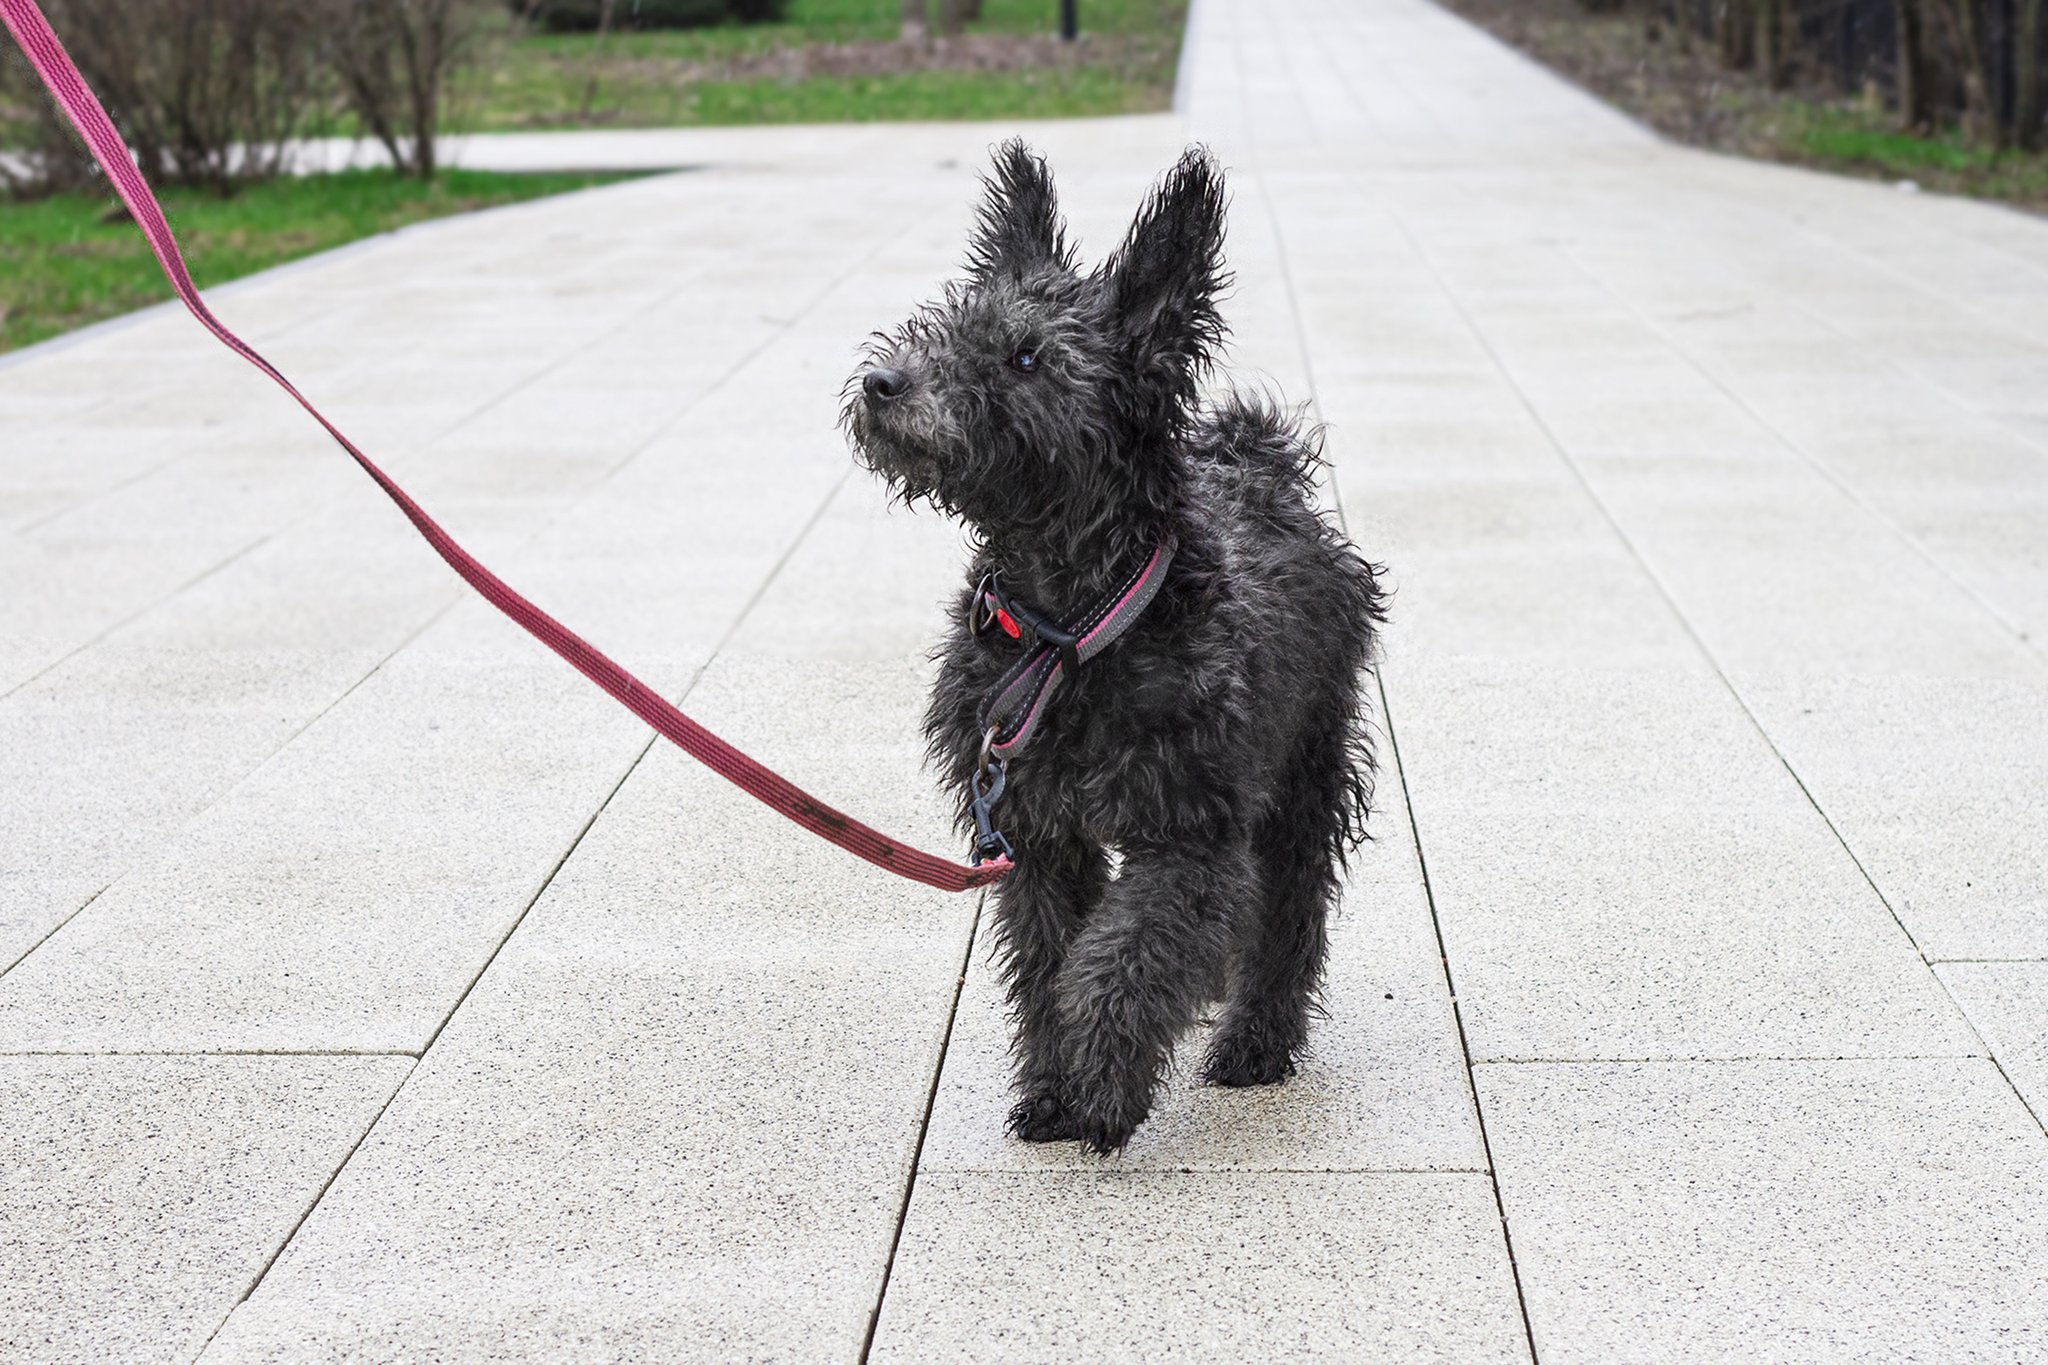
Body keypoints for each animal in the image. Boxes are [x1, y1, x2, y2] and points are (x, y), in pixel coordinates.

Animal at [839, 147, 1384, 1154]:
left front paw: (1101, 1084)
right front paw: (1057, 1090)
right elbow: (1058, 959)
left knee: (1287, 910)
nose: (885, 384)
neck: (1072, 630)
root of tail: (1258, 456)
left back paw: (1255, 1042)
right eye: (948, 324)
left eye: (1026, 356)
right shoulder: (1039, 835)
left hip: (1305, 767)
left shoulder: (1191, 833)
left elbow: (1126, 956)